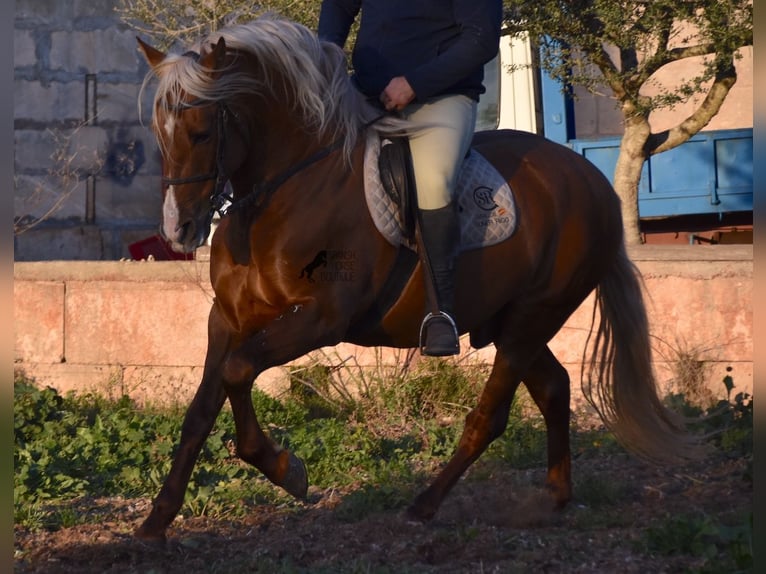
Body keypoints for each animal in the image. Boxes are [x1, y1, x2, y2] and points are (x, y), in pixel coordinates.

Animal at [134, 14, 704, 544]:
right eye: (159, 135)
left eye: (202, 132)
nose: (179, 229)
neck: (286, 191)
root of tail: (593, 182)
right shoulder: (227, 318)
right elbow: (201, 410)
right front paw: (156, 521)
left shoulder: (320, 318)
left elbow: (237, 373)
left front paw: (285, 469)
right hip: (513, 323)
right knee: (553, 388)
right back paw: (552, 498)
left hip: (530, 319)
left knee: (490, 417)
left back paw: (425, 505)